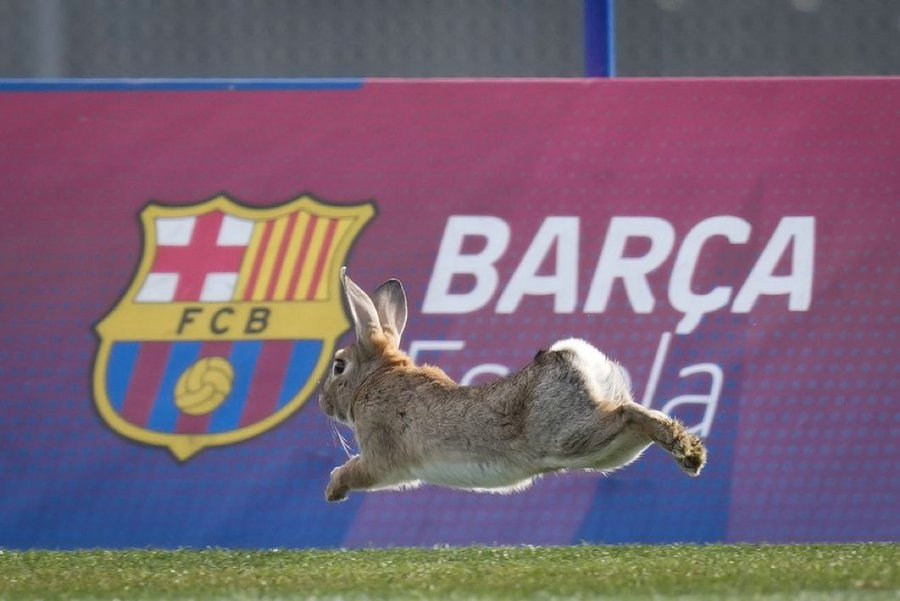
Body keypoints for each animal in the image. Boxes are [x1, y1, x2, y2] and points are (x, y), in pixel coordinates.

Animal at [319, 268, 707, 502]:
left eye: (339, 366)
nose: (323, 403)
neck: (375, 378)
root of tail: (572, 357)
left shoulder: (381, 455)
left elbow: (360, 470)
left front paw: (333, 488)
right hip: (605, 452)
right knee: (634, 420)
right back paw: (688, 450)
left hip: (570, 436)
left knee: (626, 413)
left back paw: (686, 450)